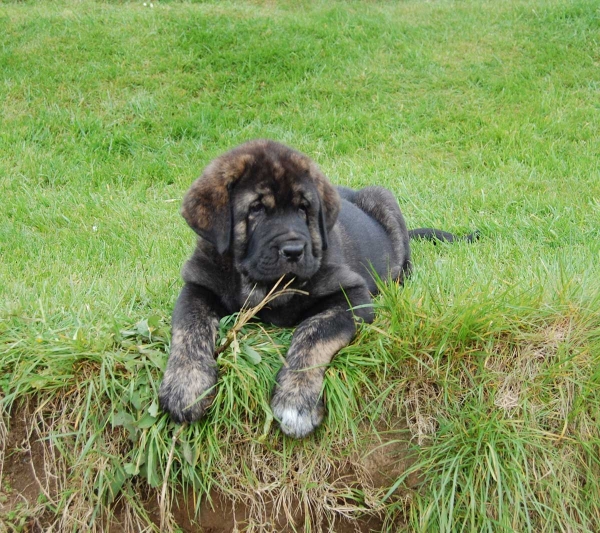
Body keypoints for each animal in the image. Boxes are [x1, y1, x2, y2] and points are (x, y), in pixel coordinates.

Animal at [159, 139, 474, 438]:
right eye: (256, 208)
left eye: (303, 209)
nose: (295, 250)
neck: (264, 285)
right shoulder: (198, 284)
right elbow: (189, 327)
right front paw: (185, 387)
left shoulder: (351, 294)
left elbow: (313, 332)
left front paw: (295, 401)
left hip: (383, 199)